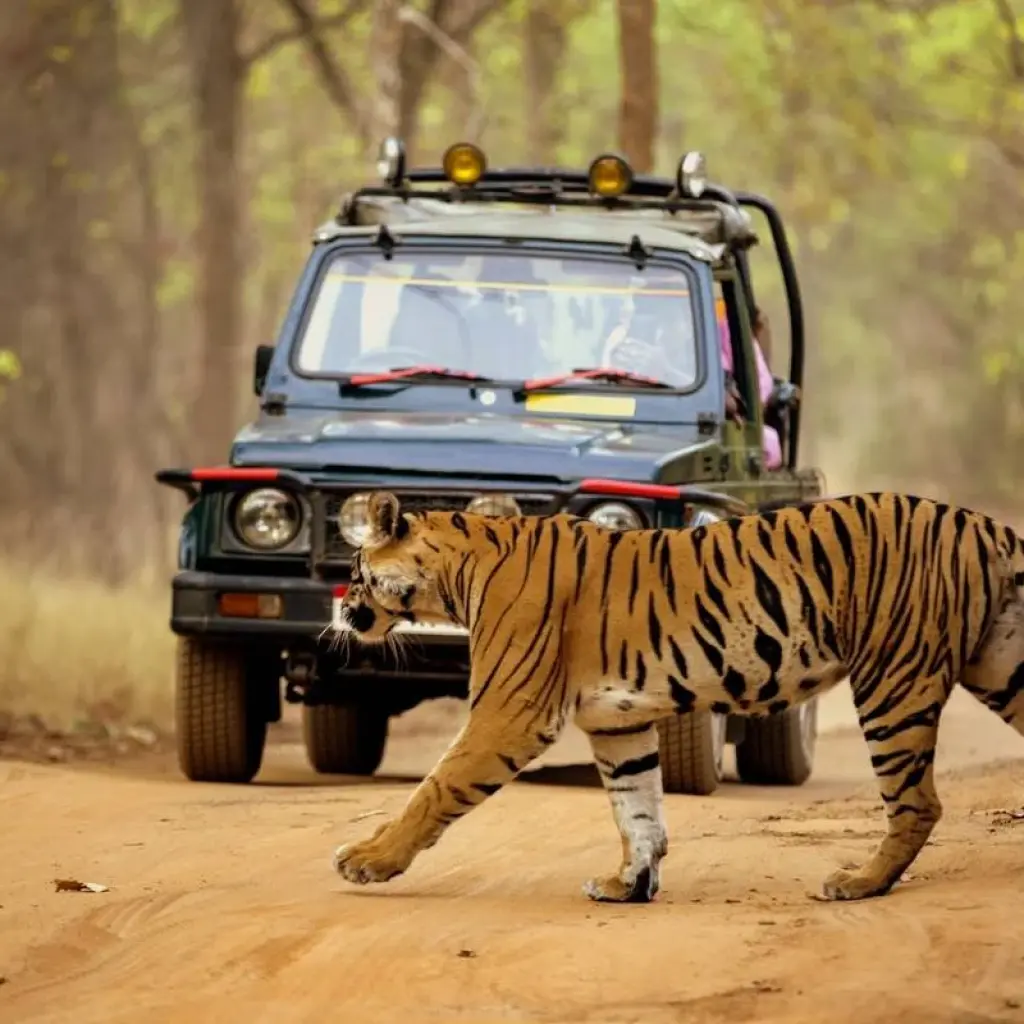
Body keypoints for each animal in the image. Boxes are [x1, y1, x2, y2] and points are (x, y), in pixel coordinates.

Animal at [330, 489, 1024, 903]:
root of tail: (982, 522)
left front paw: (366, 859)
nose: (340, 610)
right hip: (1001, 666)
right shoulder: (617, 723)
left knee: (917, 803)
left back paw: (859, 882)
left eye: (356, 571)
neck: (456, 574)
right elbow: (637, 810)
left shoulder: (511, 712)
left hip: (893, 680)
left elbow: (434, 790)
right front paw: (628, 884)